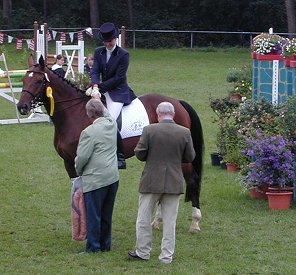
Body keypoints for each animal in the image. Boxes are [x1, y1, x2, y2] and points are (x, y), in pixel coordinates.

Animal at [17, 55, 205, 233]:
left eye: (39, 81)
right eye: (24, 80)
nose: (22, 107)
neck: (73, 114)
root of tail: (177, 102)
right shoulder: (69, 163)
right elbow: (76, 191)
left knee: (192, 180)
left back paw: (195, 223)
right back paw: (157, 222)